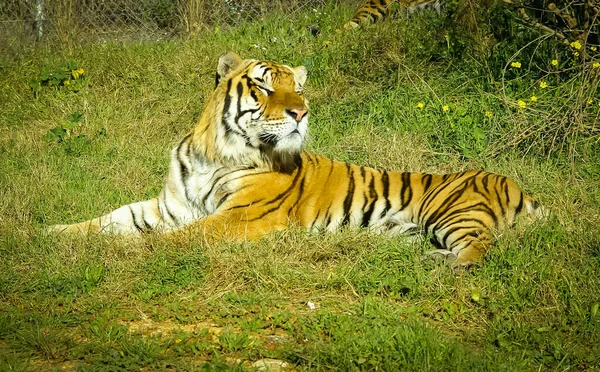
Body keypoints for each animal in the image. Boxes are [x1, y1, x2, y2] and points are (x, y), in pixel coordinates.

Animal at [47, 51, 544, 268]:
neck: (215, 152)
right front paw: (49, 233)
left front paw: (123, 250)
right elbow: (110, 218)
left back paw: (441, 267)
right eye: (265, 86)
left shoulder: (240, 217)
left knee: (480, 250)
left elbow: (175, 238)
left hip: (455, 212)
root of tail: (517, 186)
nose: (301, 112)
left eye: (298, 88)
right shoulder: (171, 205)